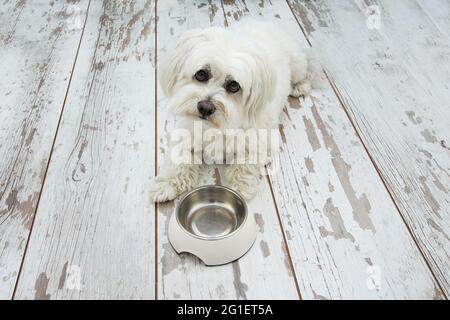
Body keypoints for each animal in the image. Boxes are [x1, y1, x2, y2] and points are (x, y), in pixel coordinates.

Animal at [150, 20, 316, 202]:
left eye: (233, 86)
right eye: (201, 74)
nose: (205, 107)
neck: (216, 127)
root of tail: (267, 21)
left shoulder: (257, 140)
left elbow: (245, 164)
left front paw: (240, 186)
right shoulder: (186, 132)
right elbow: (180, 157)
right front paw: (167, 183)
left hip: (297, 64)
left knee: (304, 73)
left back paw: (300, 86)